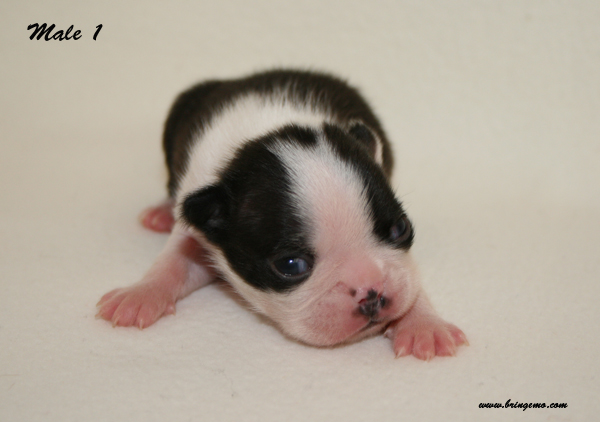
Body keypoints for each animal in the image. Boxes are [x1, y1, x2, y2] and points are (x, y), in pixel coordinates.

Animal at [96, 70, 467, 360]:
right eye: (291, 265)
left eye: (400, 229)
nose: (372, 292)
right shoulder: (200, 225)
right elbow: (173, 263)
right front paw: (140, 294)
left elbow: (410, 283)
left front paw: (423, 323)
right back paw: (161, 212)